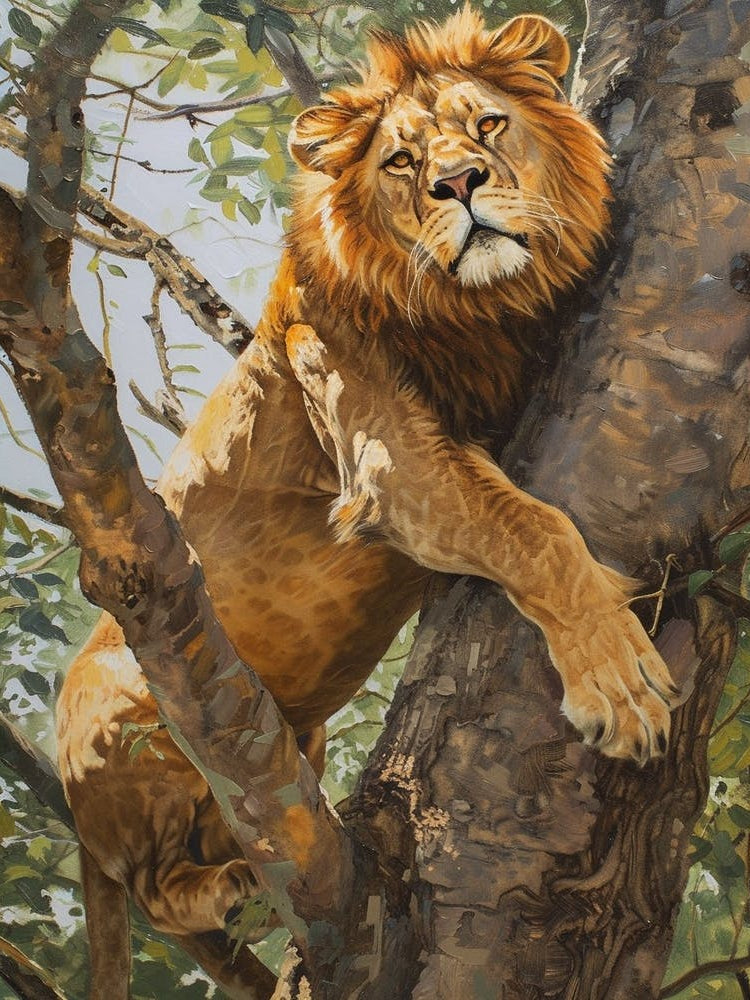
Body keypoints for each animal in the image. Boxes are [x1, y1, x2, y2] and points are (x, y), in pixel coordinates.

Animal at [56, 8, 678, 997]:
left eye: (488, 125)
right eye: (401, 161)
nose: (458, 184)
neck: (478, 310)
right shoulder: (386, 453)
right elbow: (534, 529)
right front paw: (620, 686)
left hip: (290, 744)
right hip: (140, 717)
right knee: (155, 891)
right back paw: (228, 885)